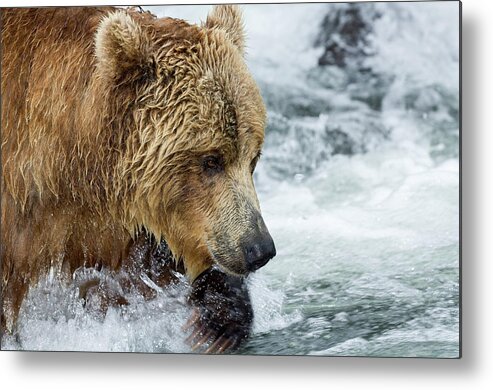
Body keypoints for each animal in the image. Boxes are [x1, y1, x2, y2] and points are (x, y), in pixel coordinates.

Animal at [1, 5, 274, 354]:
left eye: (253, 157)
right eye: (211, 160)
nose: (259, 248)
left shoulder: (112, 215)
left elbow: (148, 263)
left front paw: (218, 320)